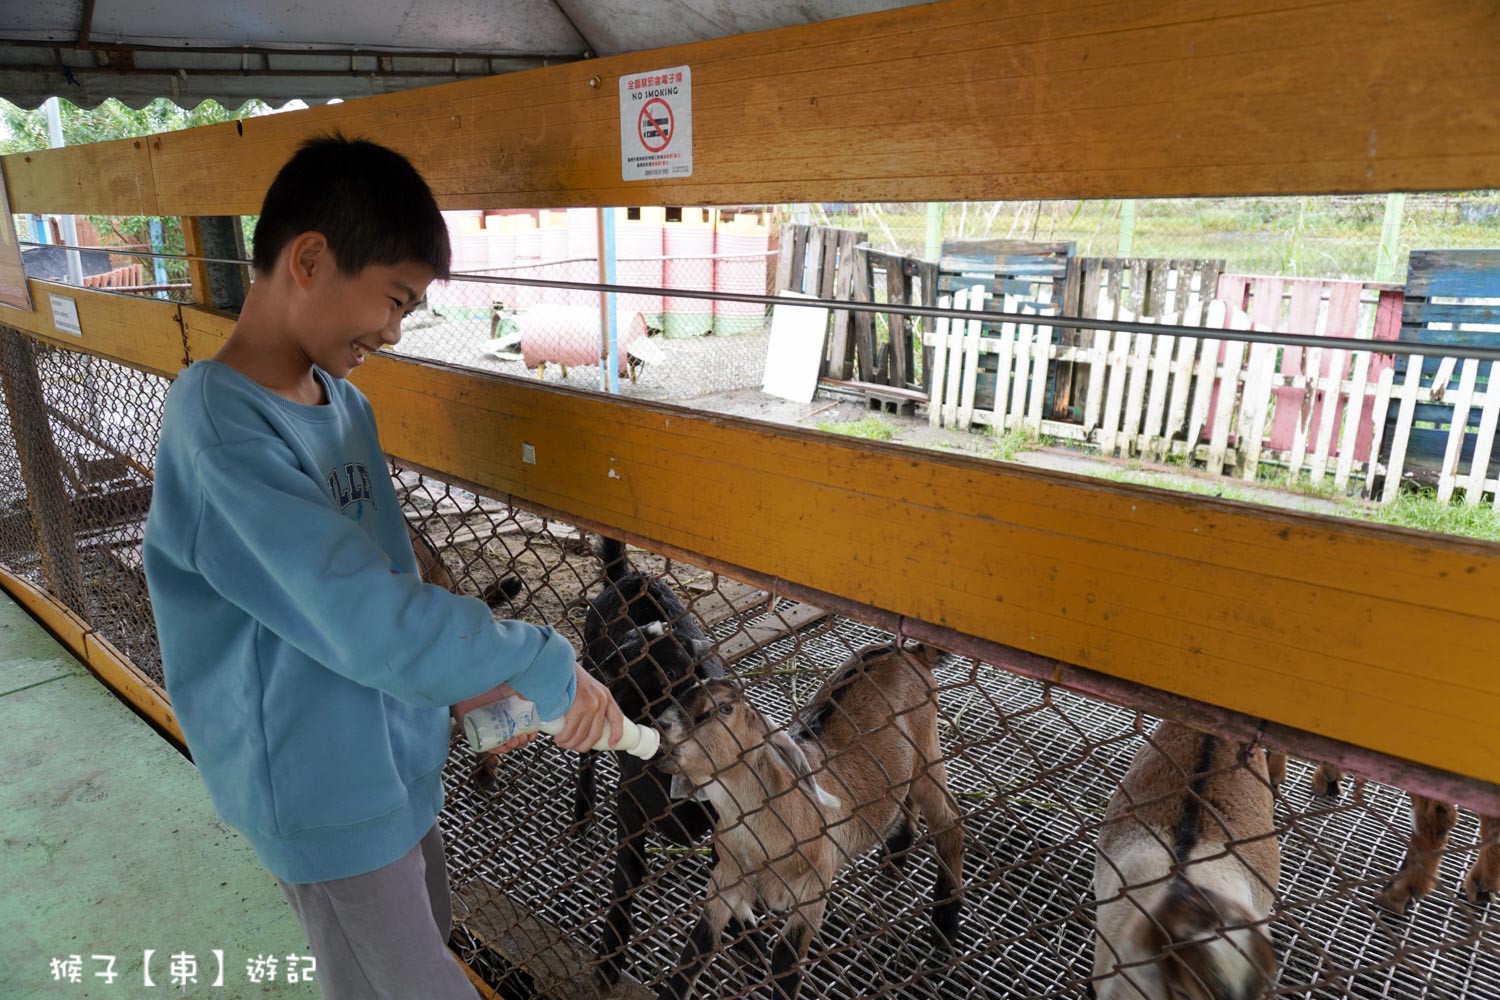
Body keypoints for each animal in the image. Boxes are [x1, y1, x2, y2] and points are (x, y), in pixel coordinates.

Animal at [576, 536, 729, 989]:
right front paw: (609, 962)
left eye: (673, 672)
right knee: (586, 763)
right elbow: (627, 877)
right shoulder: (630, 808)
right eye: (616, 659)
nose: (598, 694)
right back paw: (582, 814)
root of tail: (630, 574)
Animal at [660, 641, 966, 1000]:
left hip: (927, 750)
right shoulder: (727, 877)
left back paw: (946, 919)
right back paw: (897, 850)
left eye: (724, 708)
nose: (662, 723)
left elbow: (785, 960)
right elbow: (697, 947)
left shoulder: (812, 889)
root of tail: (908, 650)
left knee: (950, 823)